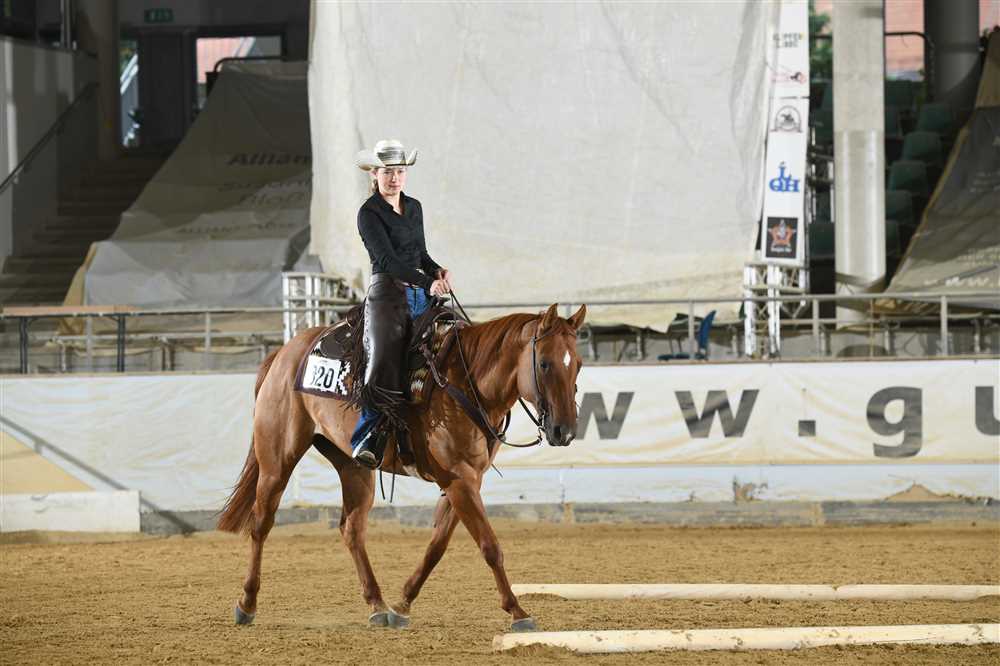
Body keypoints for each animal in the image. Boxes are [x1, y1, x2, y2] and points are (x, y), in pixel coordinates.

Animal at [217, 302, 587, 631]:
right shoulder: (459, 481)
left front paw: (402, 605)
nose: (565, 431)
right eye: (544, 363)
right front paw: (518, 611)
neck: (464, 385)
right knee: (261, 524)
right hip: (277, 460)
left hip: (354, 467)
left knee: (352, 529)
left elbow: (437, 546)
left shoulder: (466, 482)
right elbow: (490, 546)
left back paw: (377, 605)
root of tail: (284, 353)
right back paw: (246, 604)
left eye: (579, 364)